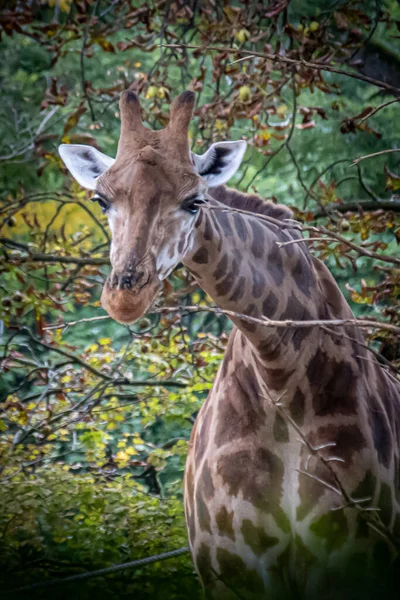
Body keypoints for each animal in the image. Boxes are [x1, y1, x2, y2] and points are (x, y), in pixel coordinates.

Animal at [59, 90, 400, 600]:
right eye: (101, 200)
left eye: (194, 201)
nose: (125, 296)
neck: (278, 371)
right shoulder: (229, 570)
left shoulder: (352, 563)